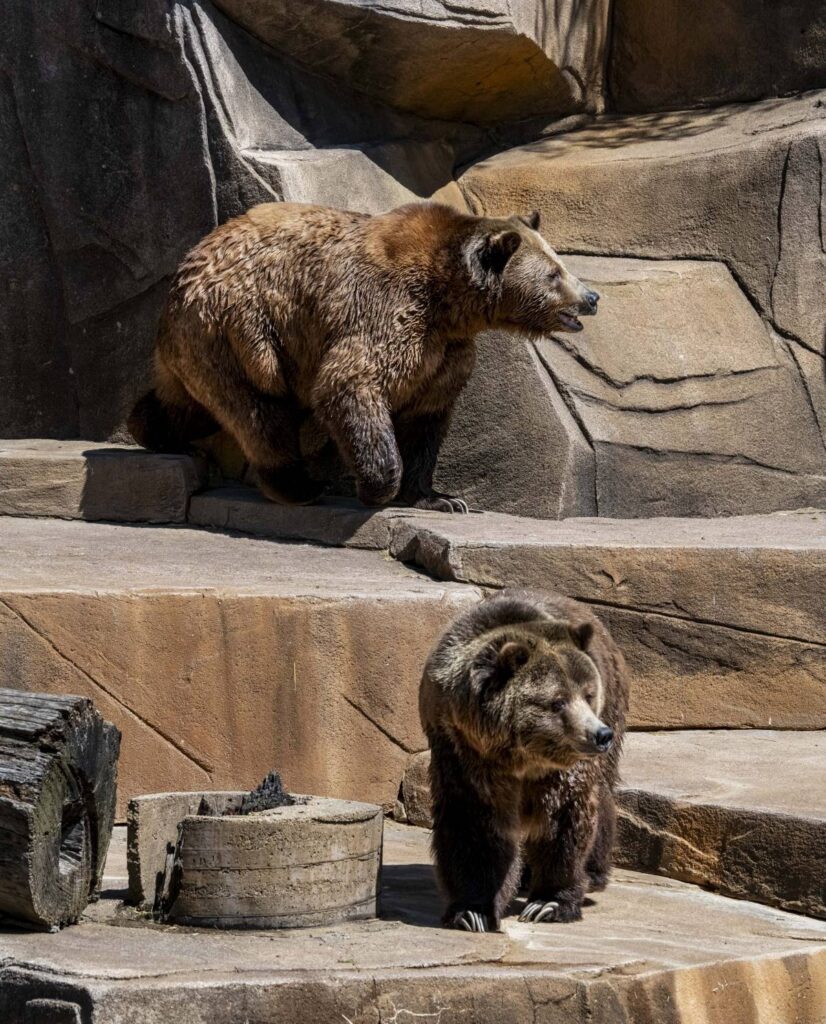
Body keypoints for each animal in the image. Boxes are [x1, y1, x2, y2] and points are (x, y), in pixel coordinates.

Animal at [128, 202, 599, 512]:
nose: (591, 297)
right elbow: (349, 383)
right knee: (258, 411)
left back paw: (150, 427)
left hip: (208, 345)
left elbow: (426, 418)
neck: (448, 301)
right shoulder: (387, 314)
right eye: (554, 274)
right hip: (242, 330)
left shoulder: (444, 353)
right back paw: (299, 484)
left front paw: (439, 497)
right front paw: (377, 488)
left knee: (191, 402)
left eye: (560, 262)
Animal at [419, 587, 628, 932]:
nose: (600, 734)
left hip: (614, 700)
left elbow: (564, 817)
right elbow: (475, 823)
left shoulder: (560, 770)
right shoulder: (463, 750)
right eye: (557, 701)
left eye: (587, 694)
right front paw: (472, 911)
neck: (520, 756)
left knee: (602, 794)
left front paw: (549, 903)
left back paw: (594, 872)